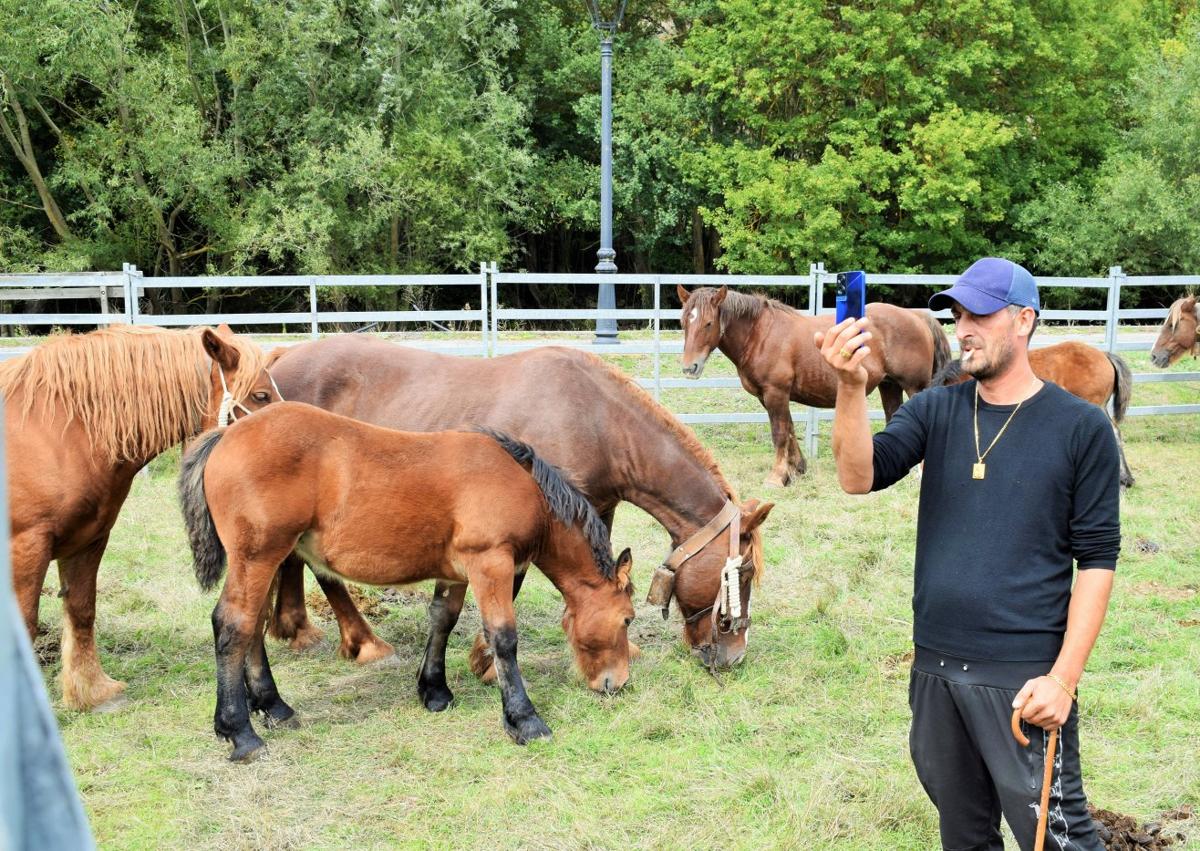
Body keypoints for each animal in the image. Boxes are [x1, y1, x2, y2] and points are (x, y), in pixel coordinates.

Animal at [1, 326, 273, 710]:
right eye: (261, 395)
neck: (59, 430)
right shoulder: (26, 545)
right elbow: (26, 626)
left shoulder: (89, 539)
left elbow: (82, 610)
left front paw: (91, 692)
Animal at [177, 400, 638, 758]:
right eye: (628, 619)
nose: (616, 684)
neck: (522, 485)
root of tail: (226, 434)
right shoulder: (491, 563)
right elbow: (503, 638)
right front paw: (525, 720)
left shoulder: (457, 573)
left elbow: (442, 620)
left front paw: (434, 691)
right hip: (258, 557)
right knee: (234, 625)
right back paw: (240, 732)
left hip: (267, 560)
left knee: (252, 626)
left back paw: (273, 707)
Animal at [254, 336, 777, 672]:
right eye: (742, 574)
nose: (736, 654)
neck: (594, 418)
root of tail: (279, 360)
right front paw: (484, 659)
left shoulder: (594, 510)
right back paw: (361, 642)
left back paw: (294, 627)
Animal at [676, 285, 945, 484]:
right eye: (684, 322)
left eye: (709, 323)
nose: (689, 367)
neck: (760, 334)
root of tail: (917, 316)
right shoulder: (770, 396)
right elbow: (790, 429)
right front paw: (796, 468)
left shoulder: (775, 392)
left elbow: (779, 433)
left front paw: (777, 476)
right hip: (889, 386)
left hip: (914, 386)